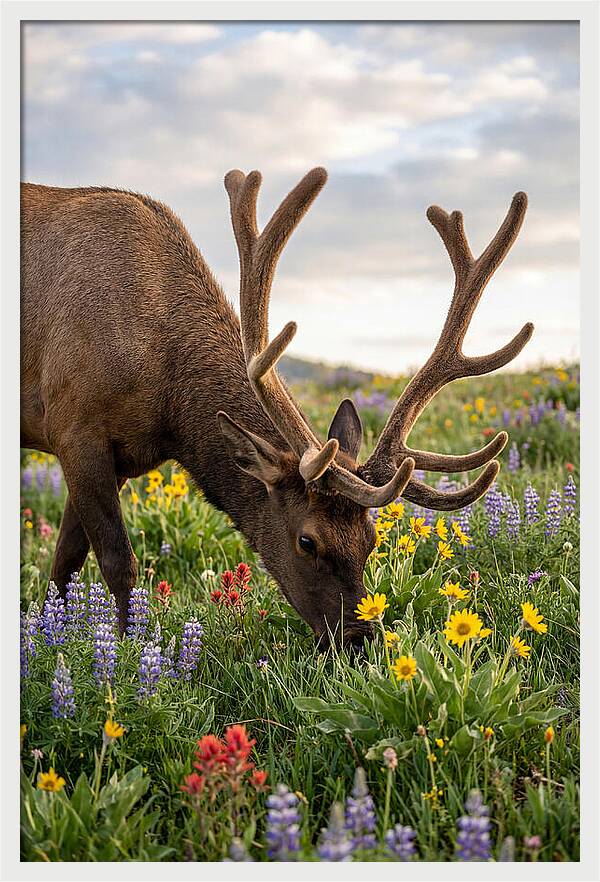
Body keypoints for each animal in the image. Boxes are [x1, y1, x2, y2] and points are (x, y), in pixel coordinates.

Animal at [20, 168, 533, 648]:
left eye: (371, 540)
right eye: (307, 541)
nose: (359, 641)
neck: (169, 406)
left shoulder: (121, 456)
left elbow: (64, 564)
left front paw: (52, 636)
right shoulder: (74, 426)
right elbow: (116, 562)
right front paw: (127, 653)